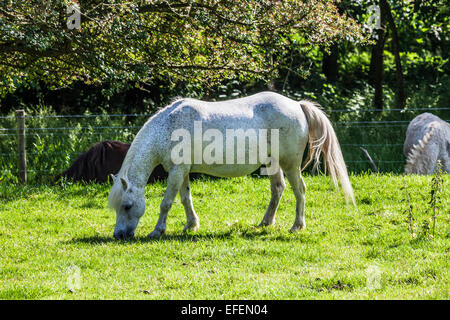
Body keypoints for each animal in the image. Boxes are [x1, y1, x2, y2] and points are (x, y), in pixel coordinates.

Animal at [107, 91, 354, 239]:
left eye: (127, 206)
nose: (118, 235)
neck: (170, 126)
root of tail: (297, 105)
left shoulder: (176, 172)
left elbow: (166, 203)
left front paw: (158, 231)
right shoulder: (182, 171)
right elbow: (186, 199)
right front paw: (191, 225)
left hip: (290, 164)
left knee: (299, 190)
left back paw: (297, 226)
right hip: (272, 162)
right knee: (278, 189)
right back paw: (265, 223)